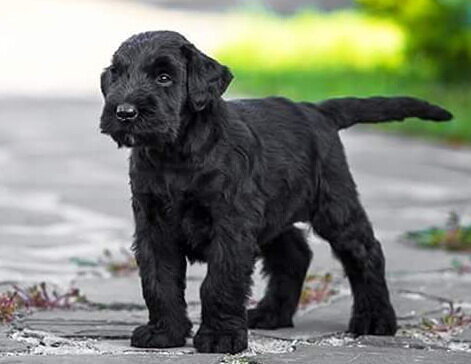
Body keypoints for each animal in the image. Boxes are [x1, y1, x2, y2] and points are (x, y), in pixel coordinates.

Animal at [98, 29, 454, 354]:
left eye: (164, 77)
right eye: (118, 74)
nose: (124, 112)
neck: (175, 154)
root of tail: (317, 111)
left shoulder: (231, 226)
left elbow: (219, 282)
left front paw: (220, 337)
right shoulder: (154, 228)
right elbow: (159, 282)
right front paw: (164, 333)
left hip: (334, 206)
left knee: (365, 252)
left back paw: (375, 320)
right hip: (274, 214)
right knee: (295, 253)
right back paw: (272, 314)